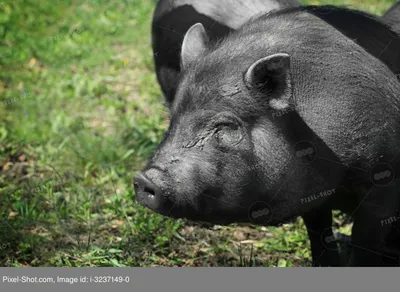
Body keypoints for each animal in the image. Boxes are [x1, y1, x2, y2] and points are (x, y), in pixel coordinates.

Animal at [137, 6, 400, 266]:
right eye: (173, 118)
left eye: (225, 124)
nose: (143, 179)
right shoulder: (313, 194)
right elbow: (318, 232)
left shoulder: (383, 183)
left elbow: (365, 244)